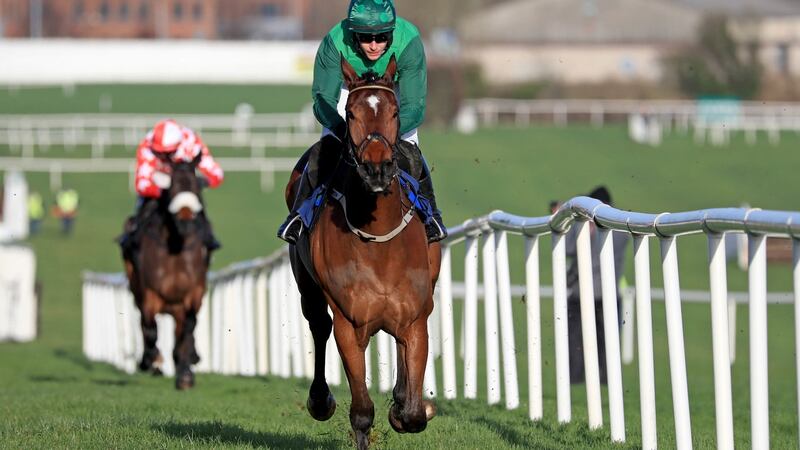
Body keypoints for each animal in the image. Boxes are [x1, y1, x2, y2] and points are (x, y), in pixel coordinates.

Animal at [122, 153, 209, 388]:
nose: (186, 220)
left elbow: (188, 329)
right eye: (172, 186)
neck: (176, 249)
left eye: (196, 185)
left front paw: (185, 374)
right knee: (145, 324)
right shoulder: (149, 293)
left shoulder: (193, 293)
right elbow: (151, 329)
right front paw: (152, 361)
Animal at [284, 54, 440, 448]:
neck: (379, 241)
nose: (376, 168)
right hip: (307, 285)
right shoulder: (349, 323)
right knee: (318, 324)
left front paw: (406, 407)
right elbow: (362, 411)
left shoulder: (414, 319)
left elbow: (414, 413)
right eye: (351, 113)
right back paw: (320, 400)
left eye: (395, 111)